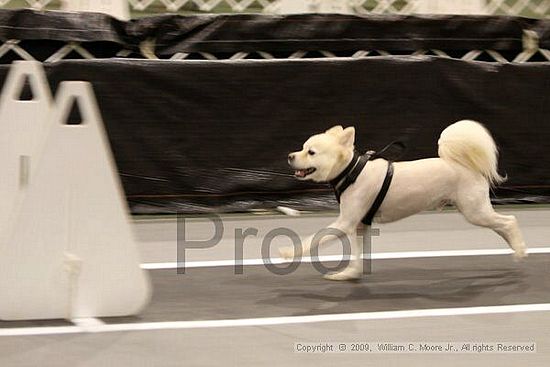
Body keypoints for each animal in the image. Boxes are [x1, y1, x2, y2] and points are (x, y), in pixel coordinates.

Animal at [282, 121, 528, 282]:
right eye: (302, 148)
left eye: (311, 152)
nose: (290, 156)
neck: (352, 172)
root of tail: (469, 165)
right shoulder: (359, 225)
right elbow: (356, 254)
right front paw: (349, 274)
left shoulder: (345, 223)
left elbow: (314, 239)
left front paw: (288, 252)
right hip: (476, 211)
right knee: (503, 225)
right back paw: (517, 248)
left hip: (475, 211)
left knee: (510, 221)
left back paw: (519, 250)